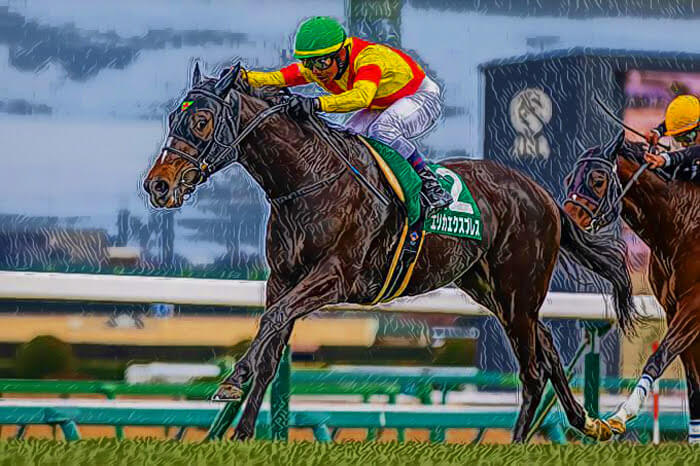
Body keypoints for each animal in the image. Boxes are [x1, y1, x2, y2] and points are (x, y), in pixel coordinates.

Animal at [143, 63, 639, 442]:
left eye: (201, 122)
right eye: (171, 119)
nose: (158, 185)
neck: (310, 180)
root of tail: (545, 197)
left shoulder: (335, 277)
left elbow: (272, 322)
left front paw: (232, 380)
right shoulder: (283, 279)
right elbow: (271, 346)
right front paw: (242, 432)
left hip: (519, 292)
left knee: (534, 370)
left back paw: (522, 443)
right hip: (493, 291)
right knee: (548, 350)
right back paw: (583, 423)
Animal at [563, 130, 700, 441]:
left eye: (598, 180)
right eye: (568, 179)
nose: (566, 219)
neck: (683, 224)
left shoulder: (694, 305)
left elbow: (658, 357)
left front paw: (621, 414)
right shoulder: (674, 309)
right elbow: (694, 379)